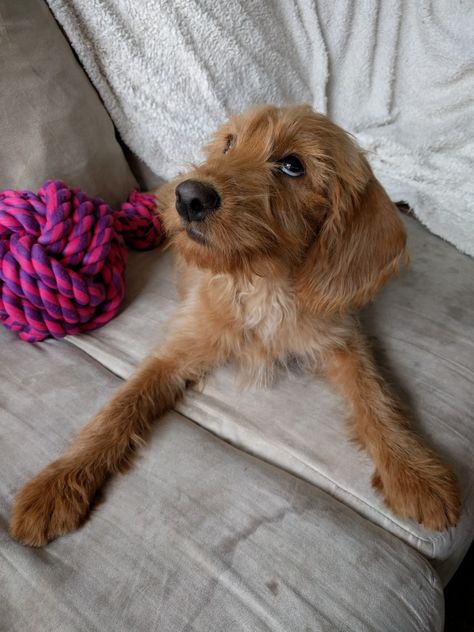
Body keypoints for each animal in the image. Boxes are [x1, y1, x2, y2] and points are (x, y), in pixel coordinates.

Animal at [9, 102, 460, 544]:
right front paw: (59, 481)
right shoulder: (176, 352)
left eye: (293, 165)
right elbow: (120, 406)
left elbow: (376, 394)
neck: (263, 284)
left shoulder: (342, 341)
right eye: (229, 144)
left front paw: (412, 470)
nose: (190, 196)